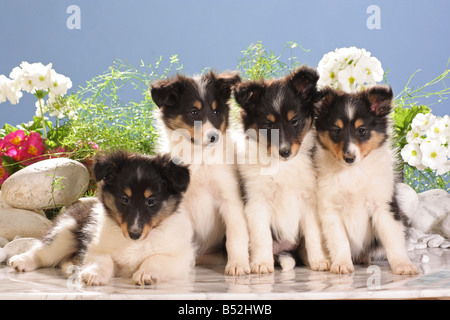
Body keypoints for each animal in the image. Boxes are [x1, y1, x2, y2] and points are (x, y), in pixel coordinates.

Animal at [8, 151, 195, 286]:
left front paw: (146, 274)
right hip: (65, 230)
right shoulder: (94, 247)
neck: (134, 243)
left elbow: (155, 258)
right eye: (124, 199)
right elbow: (103, 259)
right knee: (43, 251)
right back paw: (21, 261)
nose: (134, 234)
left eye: (151, 201)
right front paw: (93, 275)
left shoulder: (179, 258)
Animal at [150, 70, 250, 276]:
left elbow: (236, 233)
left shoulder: (230, 198)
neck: (200, 157)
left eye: (217, 112)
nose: (214, 137)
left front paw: (238, 265)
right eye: (194, 112)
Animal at [234, 65, 328, 272]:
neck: (282, 166)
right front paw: (261, 263)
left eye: (294, 121)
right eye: (268, 125)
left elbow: (314, 235)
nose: (285, 152)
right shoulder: (257, 201)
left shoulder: (310, 201)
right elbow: (262, 237)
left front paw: (320, 261)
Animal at [312, 85, 418, 276]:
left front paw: (403, 265)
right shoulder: (330, 209)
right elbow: (339, 241)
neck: (352, 172)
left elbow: (392, 239)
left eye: (361, 130)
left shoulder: (383, 206)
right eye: (336, 130)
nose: (349, 158)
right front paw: (341, 264)